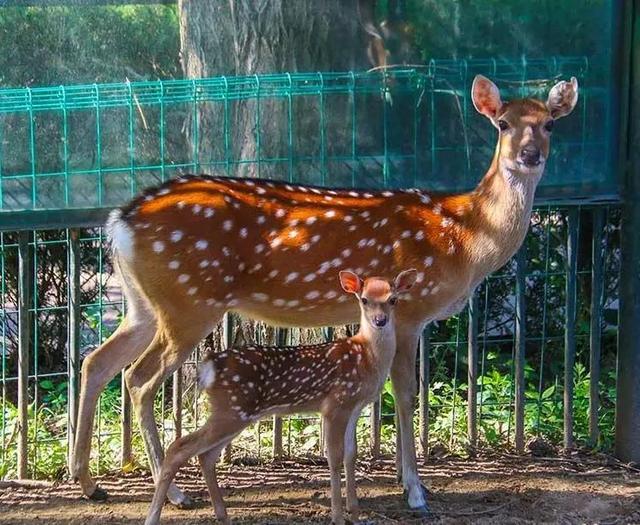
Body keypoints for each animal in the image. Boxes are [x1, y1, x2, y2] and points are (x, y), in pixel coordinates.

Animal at [143, 270, 418, 524]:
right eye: (364, 299)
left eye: (393, 299)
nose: (380, 320)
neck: (366, 356)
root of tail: (209, 366)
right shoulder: (335, 404)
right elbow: (334, 458)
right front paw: (339, 517)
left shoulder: (355, 406)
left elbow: (351, 456)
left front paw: (356, 513)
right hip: (231, 409)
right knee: (179, 447)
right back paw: (155, 516)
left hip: (235, 413)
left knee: (206, 455)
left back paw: (223, 515)